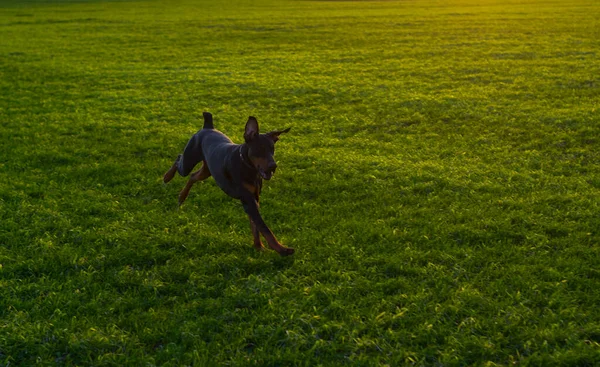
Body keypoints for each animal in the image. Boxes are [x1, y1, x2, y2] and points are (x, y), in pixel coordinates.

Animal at [163, 112, 294, 256]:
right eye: (259, 149)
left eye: (272, 149)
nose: (273, 166)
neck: (247, 166)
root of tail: (208, 127)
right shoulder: (248, 198)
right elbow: (264, 227)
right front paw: (282, 249)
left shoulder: (254, 198)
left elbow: (255, 226)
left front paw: (259, 247)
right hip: (189, 161)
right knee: (179, 159)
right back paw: (167, 177)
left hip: (207, 170)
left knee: (192, 176)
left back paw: (182, 196)